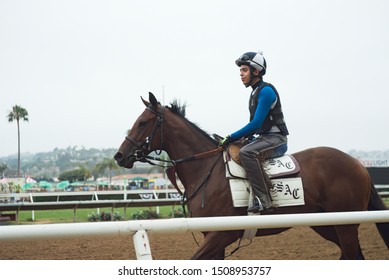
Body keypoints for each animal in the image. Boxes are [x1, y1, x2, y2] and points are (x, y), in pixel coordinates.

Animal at [113, 92, 388, 260]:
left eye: (143, 122)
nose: (119, 155)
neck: (206, 170)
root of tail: (357, 163)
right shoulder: (211, 236)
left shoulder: (221, 234)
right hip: (327, 224)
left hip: (345, 225)